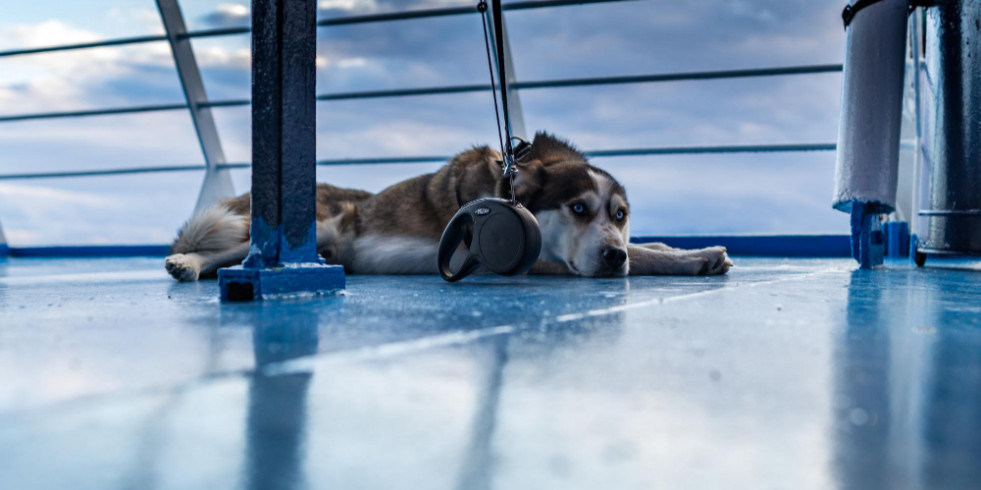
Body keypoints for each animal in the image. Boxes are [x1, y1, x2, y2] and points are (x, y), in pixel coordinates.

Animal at [167, 132, 728, 282]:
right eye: (577, 209)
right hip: (307, 231)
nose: (613, 256)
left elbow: (650, 245)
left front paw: (687, 251)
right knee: (230, 255)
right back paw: (186, 263)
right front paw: (692, 258)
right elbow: (649, 255)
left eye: (619, 215)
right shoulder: (534, 258)